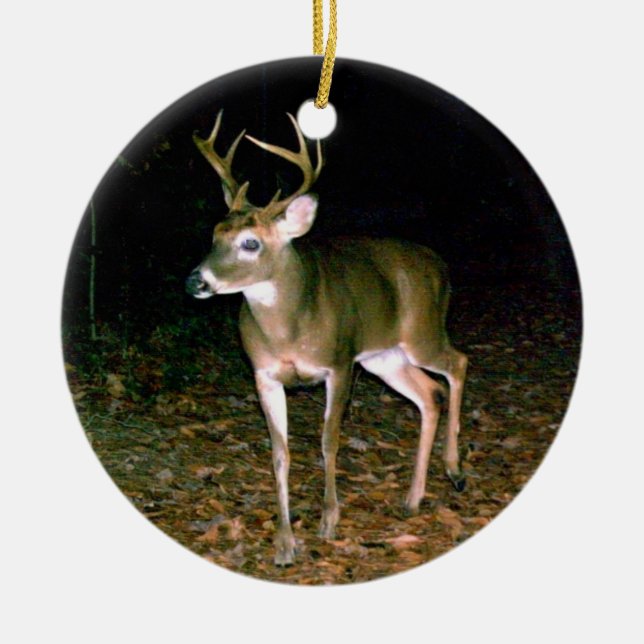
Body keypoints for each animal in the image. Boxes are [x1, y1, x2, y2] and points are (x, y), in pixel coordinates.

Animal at [185, 110, 468, 565]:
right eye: (214, 235)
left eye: (251, 243)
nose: (195, 281)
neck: (288, 329)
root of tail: (440, 266)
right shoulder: (264, 373)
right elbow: (279, 452)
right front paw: (285, 543)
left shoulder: (339, 362)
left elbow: (329, 440)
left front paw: (329, 520)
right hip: (383, 357)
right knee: (429, 394)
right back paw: (412, 499)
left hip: (422, 331)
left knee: (457, 364)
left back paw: (455, 470)